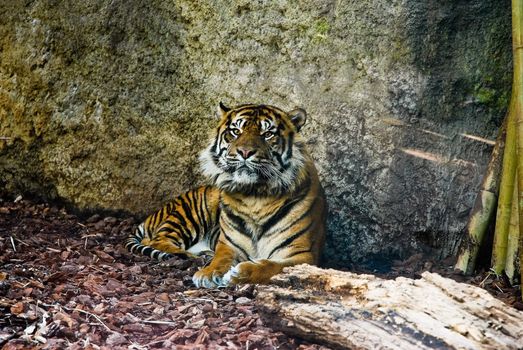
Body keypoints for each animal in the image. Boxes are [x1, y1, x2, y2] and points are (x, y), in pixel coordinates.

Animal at [124, 102, 326, 288]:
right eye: (236, 131)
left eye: (268, 134)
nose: (245, 152)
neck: (255, 197)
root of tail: (152, 215)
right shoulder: (229, 245)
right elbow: (221, 259)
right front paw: (207, 273)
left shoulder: (303, 255)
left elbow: (272, 266)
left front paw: (240, 273)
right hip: (189, 215)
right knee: (155, 239)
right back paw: (189, 256)